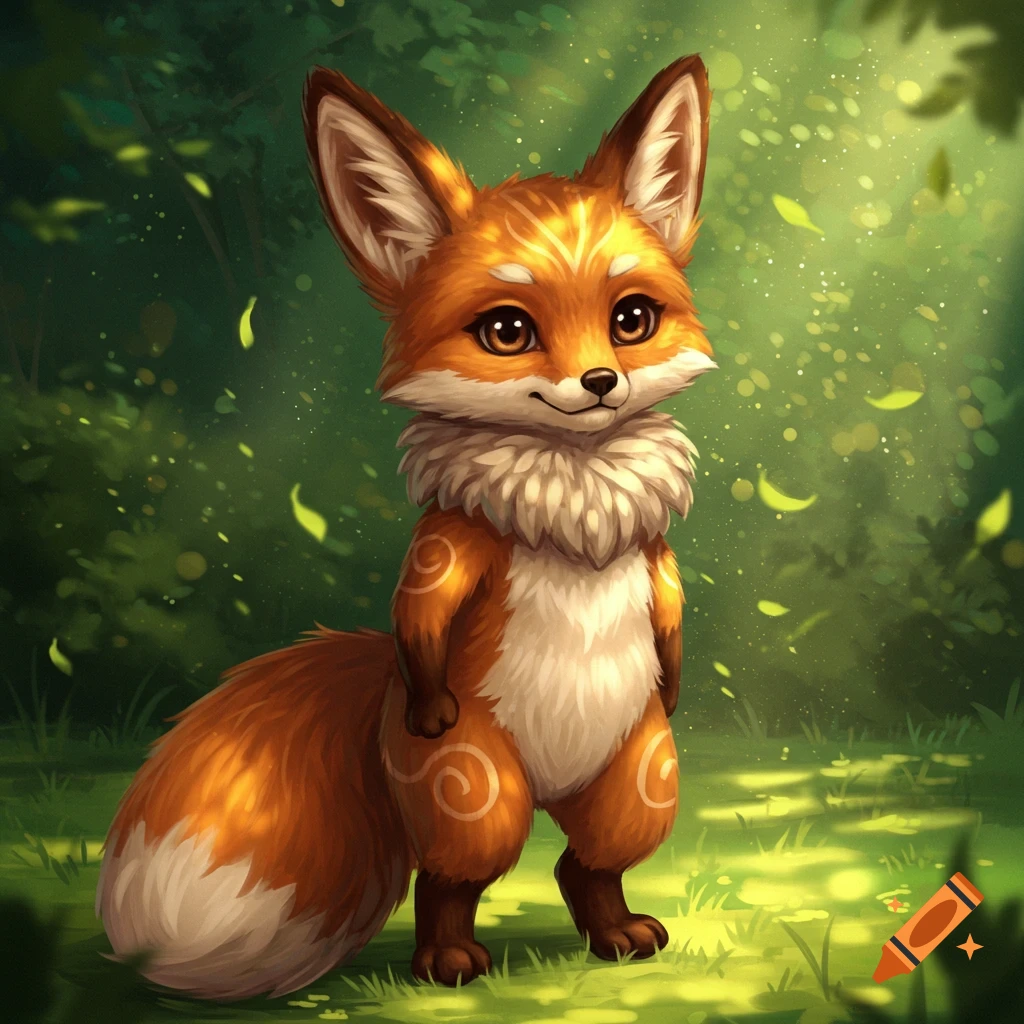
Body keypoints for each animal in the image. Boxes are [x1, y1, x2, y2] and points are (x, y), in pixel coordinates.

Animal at [95, 54, 716, 1000]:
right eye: (508, 330)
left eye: (631, 320)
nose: (601, 382)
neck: (575, 490)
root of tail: (551, 779)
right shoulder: (452, 547)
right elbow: (422, 606)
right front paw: (433, 695)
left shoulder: (653, 559)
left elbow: (671, 606)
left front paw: (676, 676)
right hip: (477, 790)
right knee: (451, 878)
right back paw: (449, 962)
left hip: (640, 779)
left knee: (585, 864)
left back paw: (614, 934)